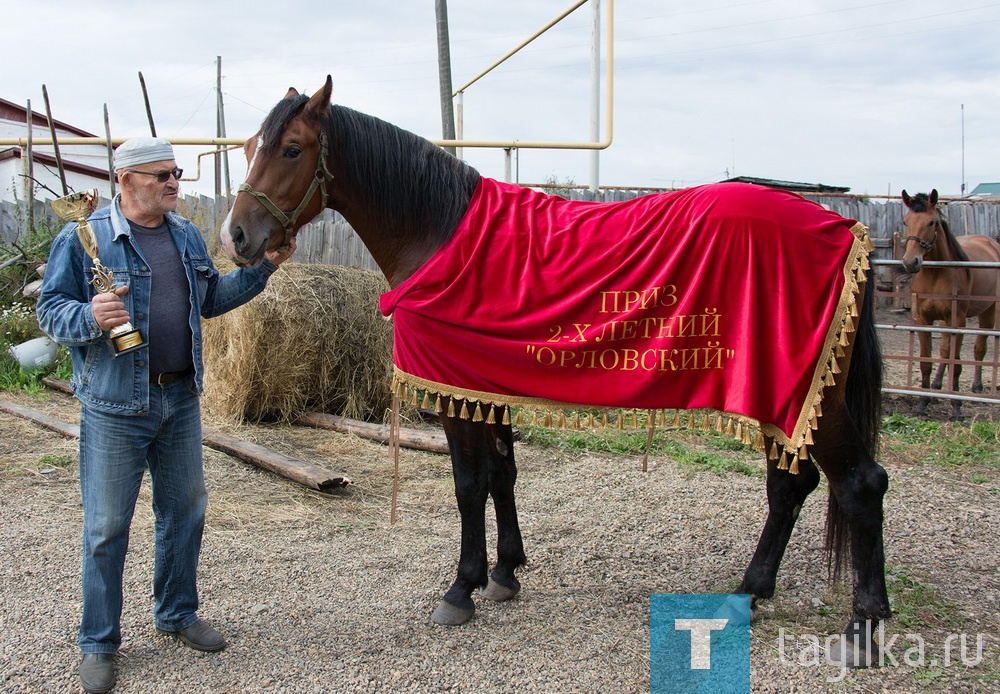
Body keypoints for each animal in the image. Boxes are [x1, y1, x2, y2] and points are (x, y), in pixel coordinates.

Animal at [219, 76, 892, 668]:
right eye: (249, 147)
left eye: (292, 147)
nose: (236, 237)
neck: (440, 233)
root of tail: (844, 228)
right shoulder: (479, 385)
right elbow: (502, 474)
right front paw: (504, 572)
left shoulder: (453, 391)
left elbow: (469, 484)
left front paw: (460, 590)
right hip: (785, 397)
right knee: (791, 487)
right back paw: (749, 592)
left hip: (806, 398)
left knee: (860, 485)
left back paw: (860, 630)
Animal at [900, 189, 1000, 418]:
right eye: (905, 221)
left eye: (932, 222)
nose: (911, 262)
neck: (935, 274)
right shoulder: (924, 320)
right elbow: (926, 362)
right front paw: (923, 403)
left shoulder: (957, 321)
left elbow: (956, 363)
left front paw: (956, 408)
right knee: (946, 352)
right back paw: (937, 387)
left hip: (989, 311)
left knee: (979, 349)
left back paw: (977, 388)